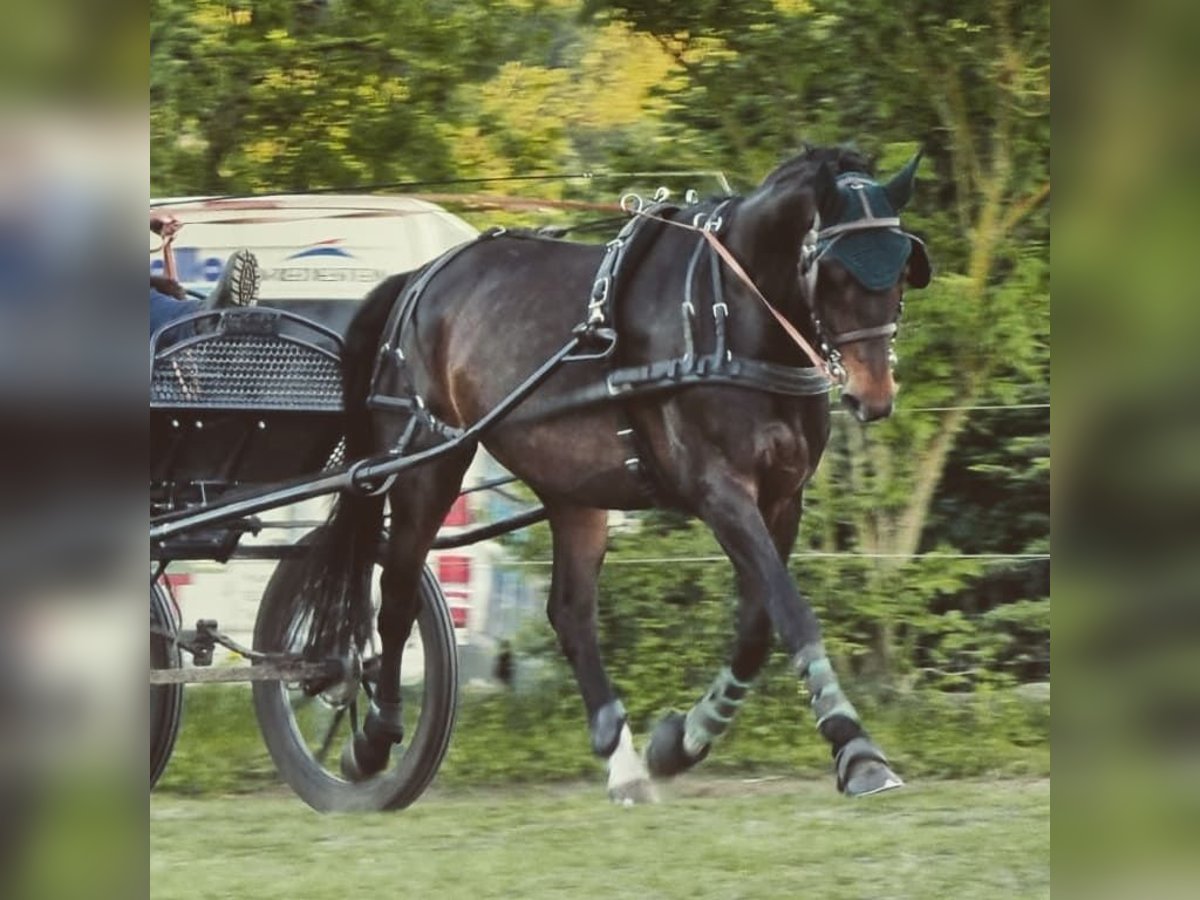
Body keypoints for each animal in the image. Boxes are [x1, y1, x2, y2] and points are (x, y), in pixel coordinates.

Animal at [297, 146, 926, 801]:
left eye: (903, 266)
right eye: (835, 272)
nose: (873, 395)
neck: (733, 315)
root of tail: (419, 280)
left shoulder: (783, 497)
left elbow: (757, 626)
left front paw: (683, 740)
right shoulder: (720, 490)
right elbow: (792, 612)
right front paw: (856, 749)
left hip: (573, 487)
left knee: (570, 615)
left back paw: (620, 760)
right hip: (427, 459)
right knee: (396, 595)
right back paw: (373, 740)